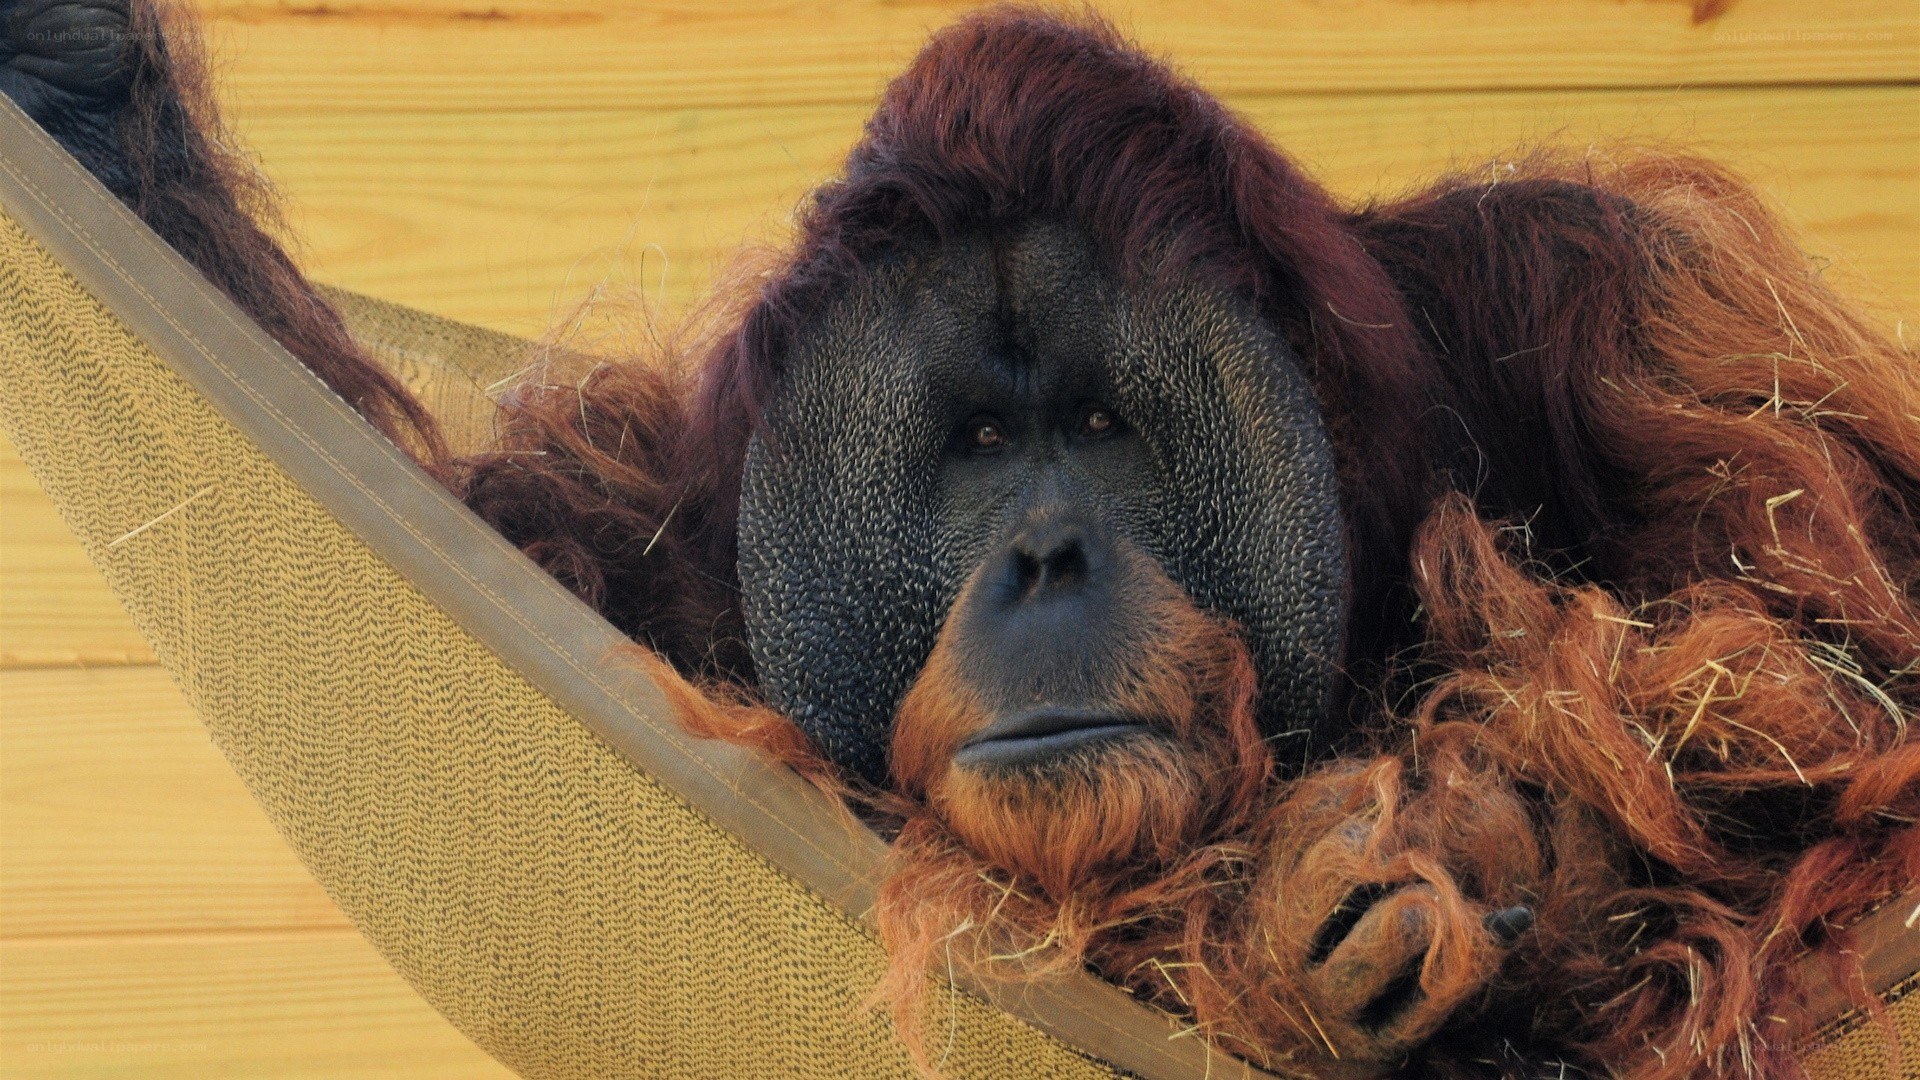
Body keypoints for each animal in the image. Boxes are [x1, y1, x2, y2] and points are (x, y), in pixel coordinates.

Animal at [6, 3, 1917, 1077]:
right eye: (983, 445)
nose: (1046, 558)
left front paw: (1471, 848)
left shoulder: (1617, 306)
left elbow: (1823, 687)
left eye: (1101, 431)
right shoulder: (658, 526)